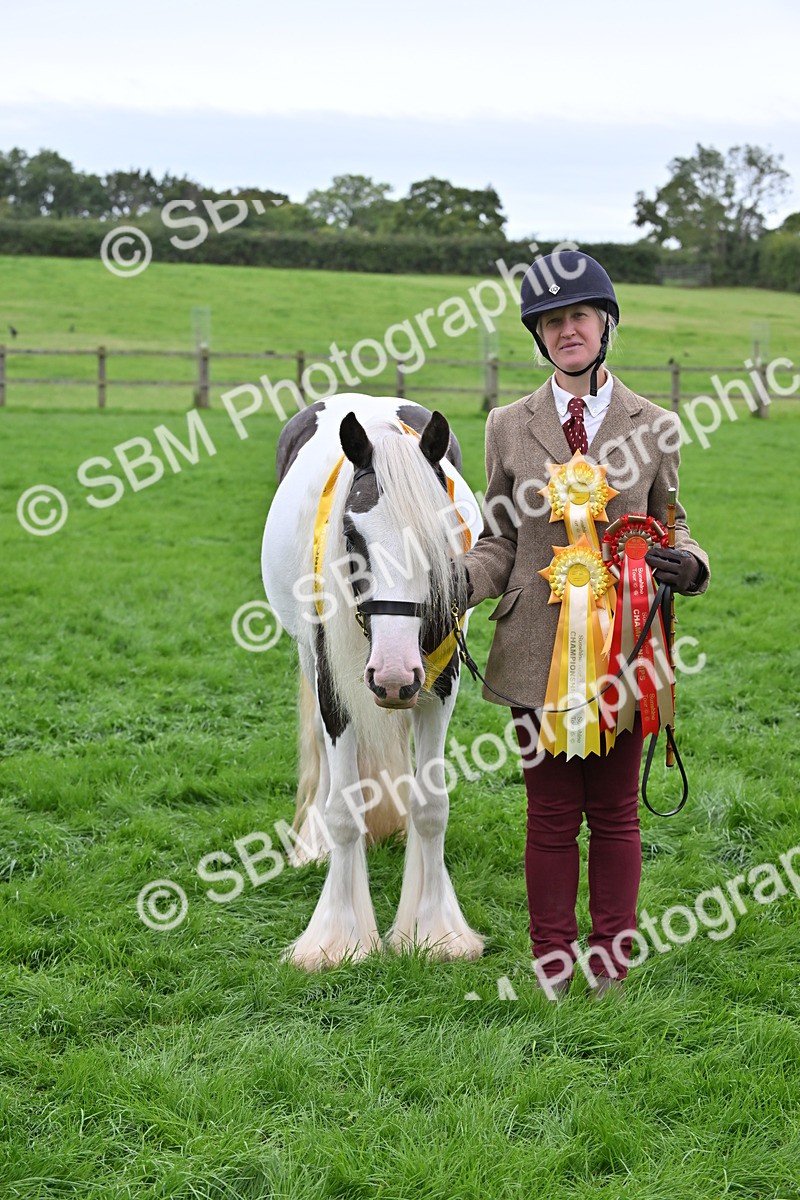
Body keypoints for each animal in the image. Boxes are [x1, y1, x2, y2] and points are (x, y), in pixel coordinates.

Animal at [261, 394, 485, 971]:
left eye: (441, 534)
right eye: (351, 535)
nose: (392, 675)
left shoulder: (440, 684)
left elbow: (432, 807)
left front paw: (435, 930)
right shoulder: (335, 688)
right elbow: (343, 811)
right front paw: (337, 938)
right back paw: (313, 844)